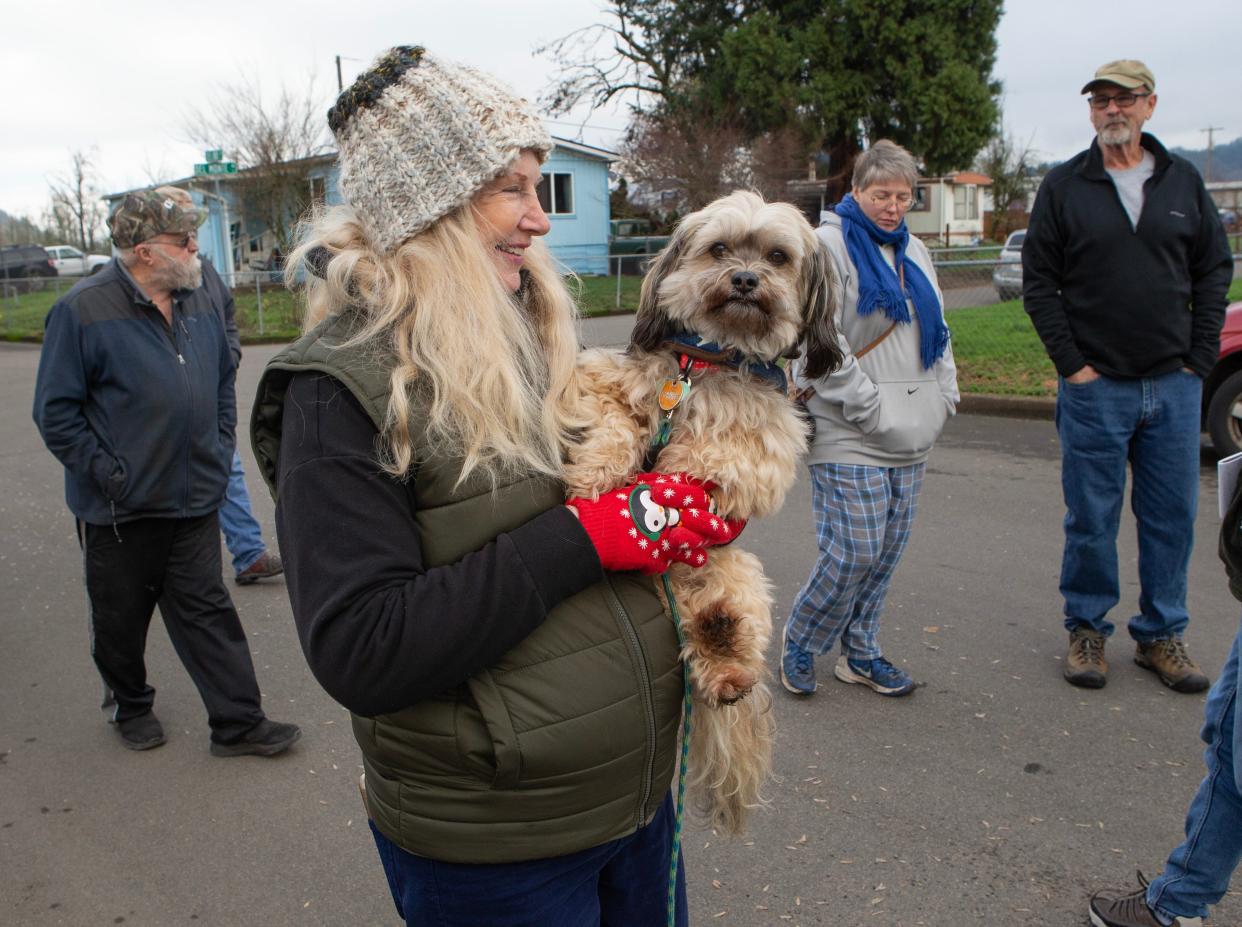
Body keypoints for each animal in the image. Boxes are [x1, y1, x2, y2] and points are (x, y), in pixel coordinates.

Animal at [566, 190, 844, 830]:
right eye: (719, 249)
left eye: (776, 256)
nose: (744, 279)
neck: (712, 364)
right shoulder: (609, 382)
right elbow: (618, 422)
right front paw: (600, 477)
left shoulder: (763, 443)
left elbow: (715, 461)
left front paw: (673, 490)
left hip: (737, 571)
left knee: (719, 641)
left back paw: (725, 653)